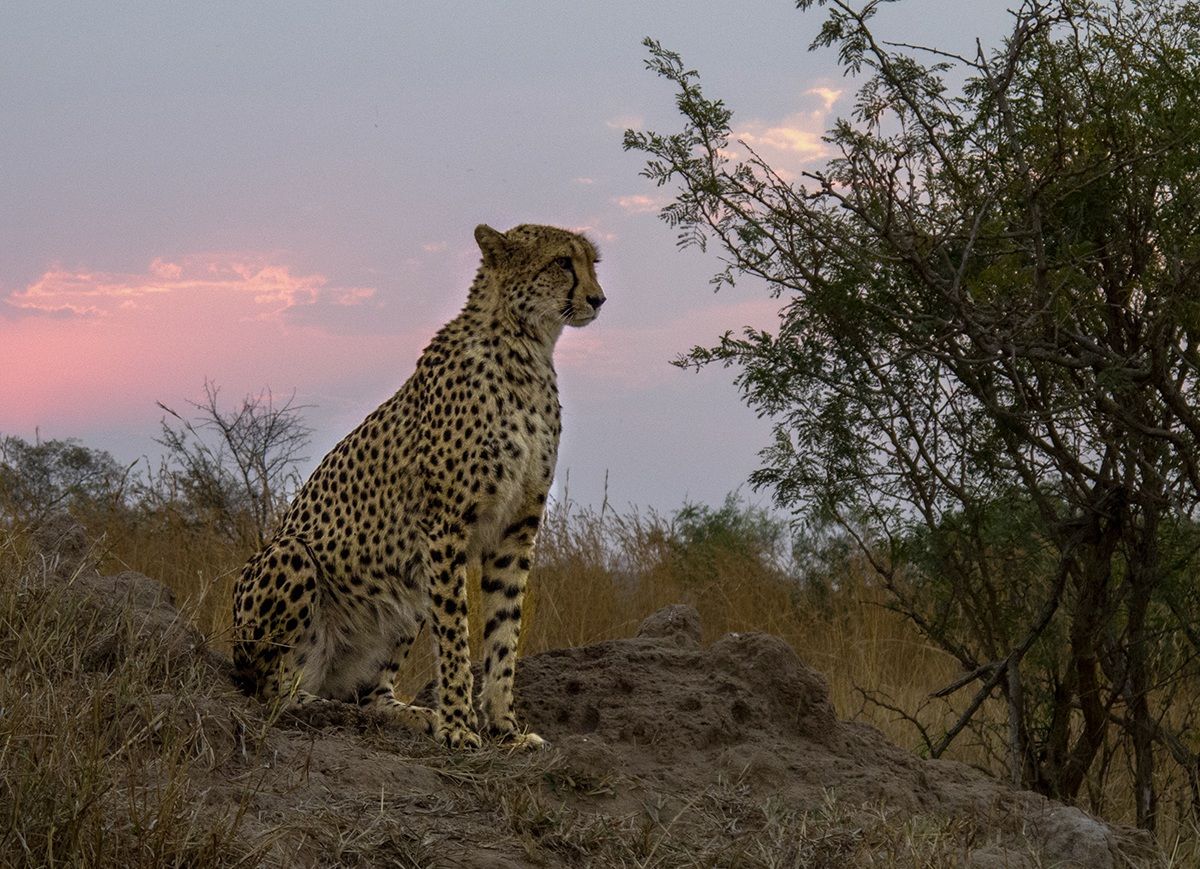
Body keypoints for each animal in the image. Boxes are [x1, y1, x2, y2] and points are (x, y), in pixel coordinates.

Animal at [231, 222, 605, 750]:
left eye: (592, 262)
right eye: (561, 263)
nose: (598, 298)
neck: (527, 348)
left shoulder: (516, 530)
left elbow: (503, 635)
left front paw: (504, 728)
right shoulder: (445, 527)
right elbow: (455, 634)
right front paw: (459, 726)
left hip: (404, 596)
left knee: (369, 695)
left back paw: (407, 714)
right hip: (292, 558)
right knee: (272, 690)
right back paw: (320, 707)